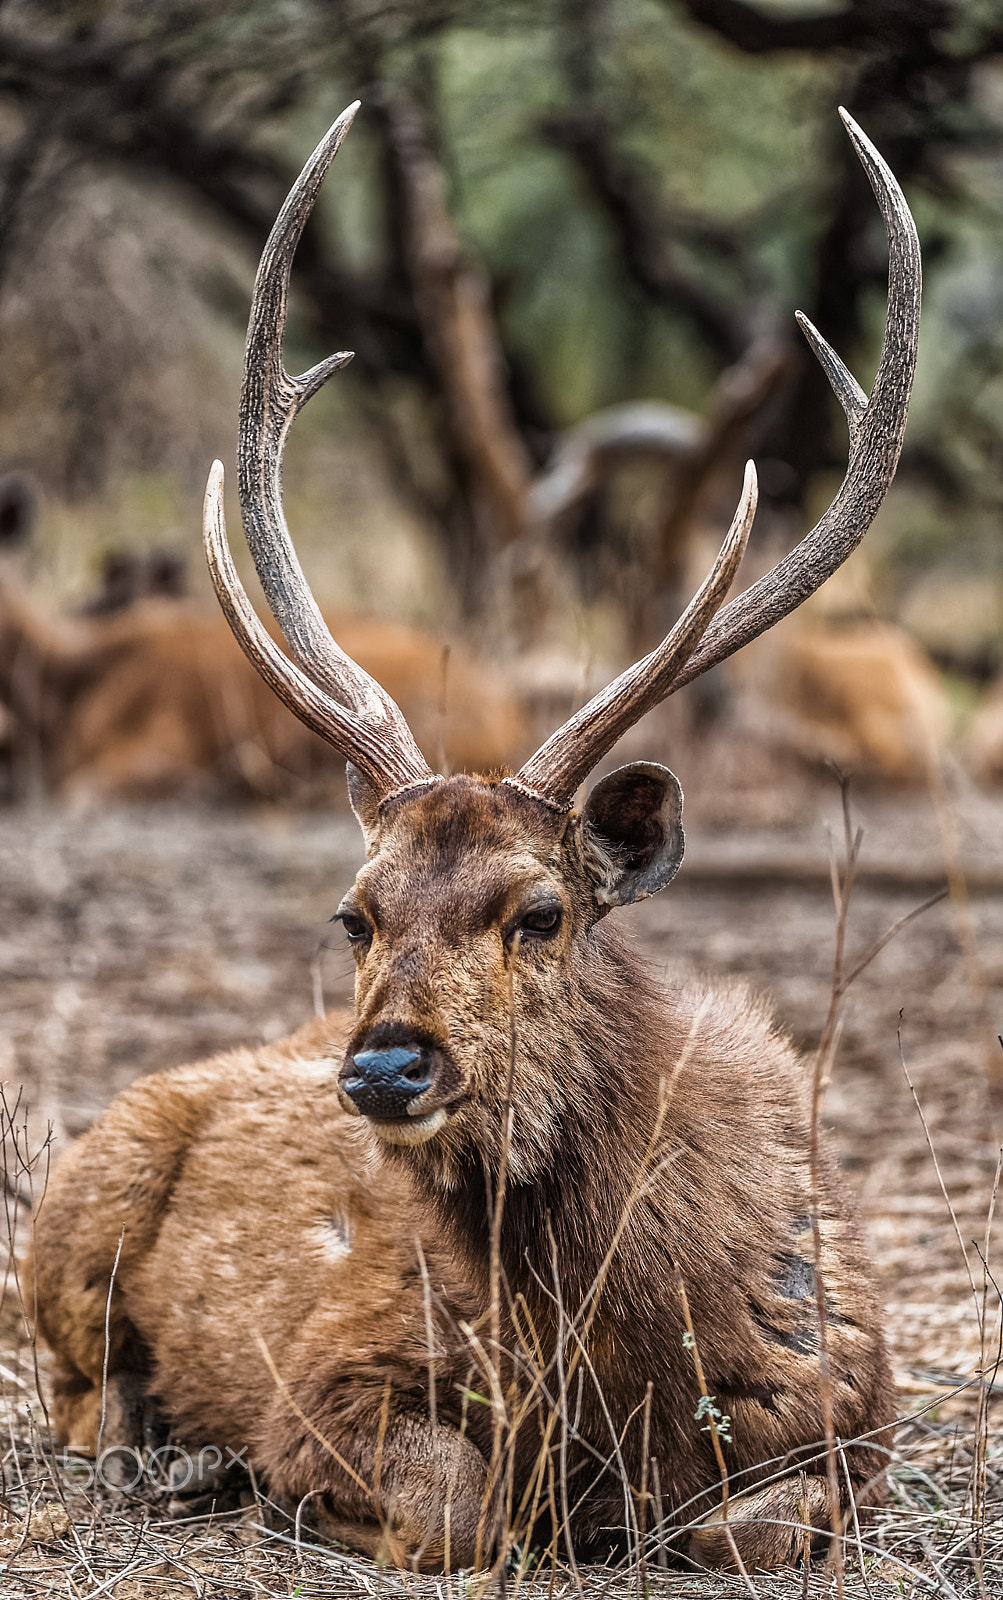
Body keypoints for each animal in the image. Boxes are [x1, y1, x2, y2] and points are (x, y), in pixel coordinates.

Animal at [29, 103, 920, 1575]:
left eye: (537, 910)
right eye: (356, 912)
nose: (388, 1064)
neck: (616, 1363)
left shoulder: (853, 1395)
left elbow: (754, 1529)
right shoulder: (334, 1366)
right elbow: (461, 1512)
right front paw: (292, 1489)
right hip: (71, 1211)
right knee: (71, 1389)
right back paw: (166, 1451)